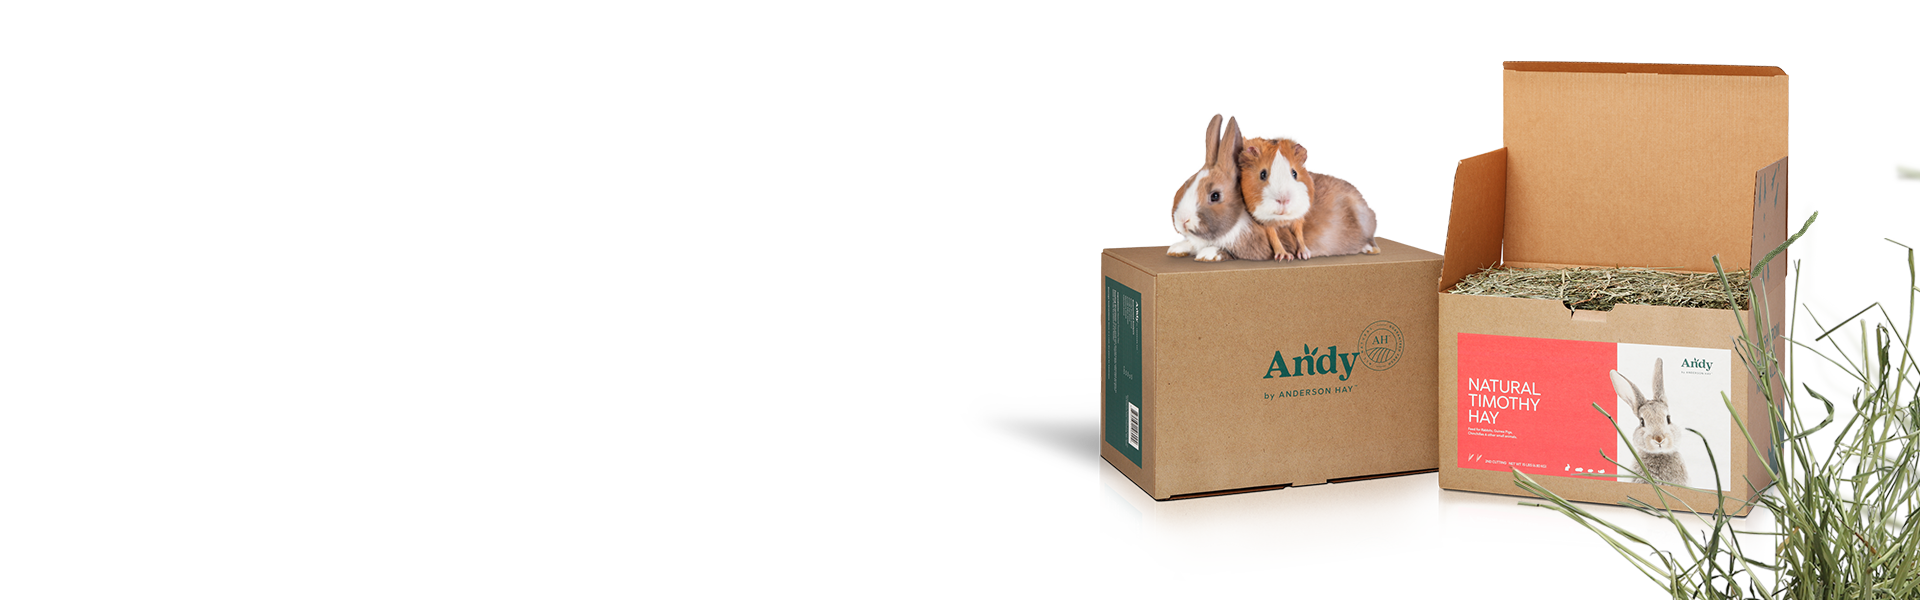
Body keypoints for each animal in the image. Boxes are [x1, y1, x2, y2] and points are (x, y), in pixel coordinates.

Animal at [1166, 114, 1272, 262]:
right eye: (1187, 184)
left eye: (1215, 196)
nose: (1183, 220)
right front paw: (1176, 249)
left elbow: (1229, 252)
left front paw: (1207, 255)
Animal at [1234, 133, 1380, 260]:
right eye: (1262, 174)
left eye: (1294, 173)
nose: (1283, 200)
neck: (1282, 220)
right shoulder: (1265, 223)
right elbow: (1274, 236)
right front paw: (1284, 256)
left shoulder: (1298, 218)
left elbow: (1299, 234)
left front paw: (1304, 255)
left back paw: (1373, 250)